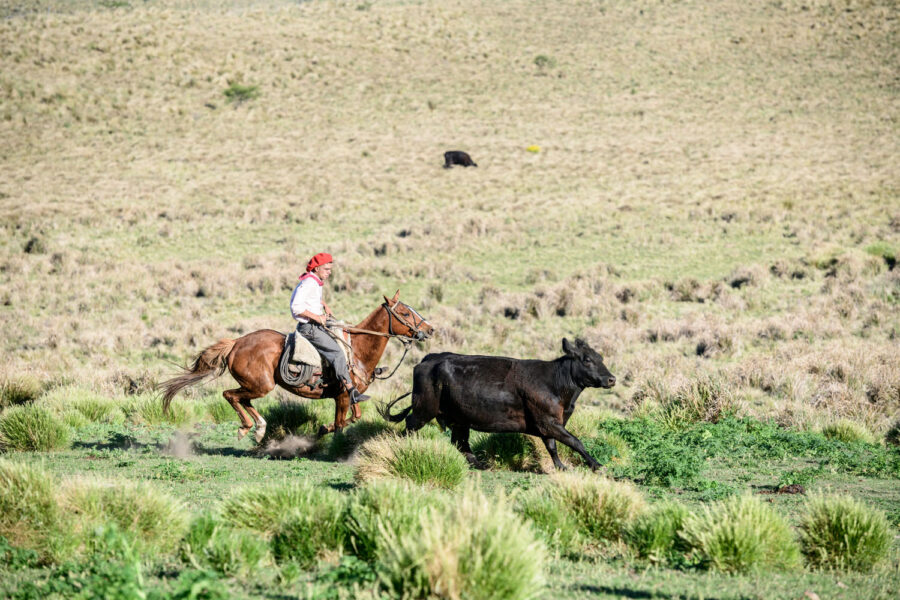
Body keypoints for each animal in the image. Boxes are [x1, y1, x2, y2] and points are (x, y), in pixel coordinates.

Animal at [159, 292, 433, 442]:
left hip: (255, 385)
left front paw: (323, 429)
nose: (429, 329)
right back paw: (247, 428)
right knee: (230, 395)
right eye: (405, 313)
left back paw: (259, 429)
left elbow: (351, 418)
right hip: (262, 385)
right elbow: (342, 424)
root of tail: (236, 342)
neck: (356, 349)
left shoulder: (346, 398)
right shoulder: (344, 396)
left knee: (241, 399)